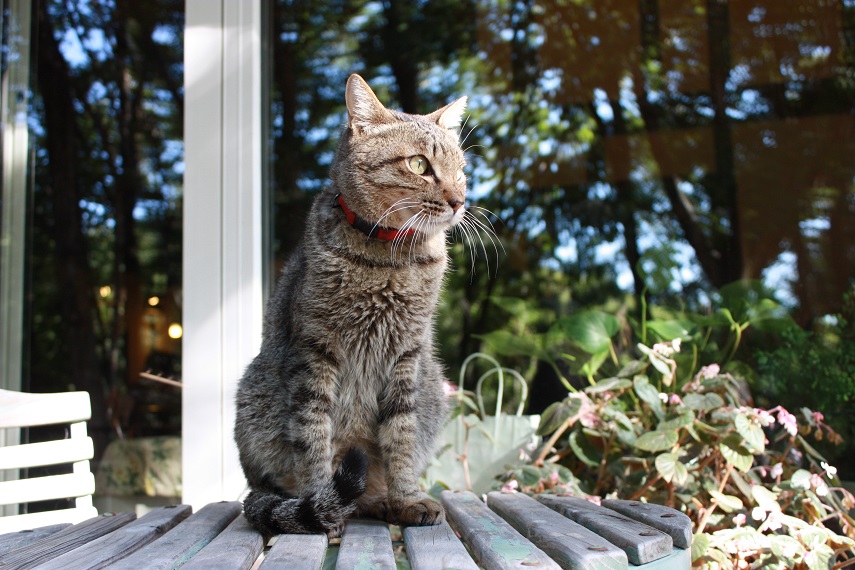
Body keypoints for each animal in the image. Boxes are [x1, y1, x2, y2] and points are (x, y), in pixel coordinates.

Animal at [236, 73, 468, 536]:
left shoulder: (408, 354)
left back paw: (378, 501)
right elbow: (313, 436)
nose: (458, 201)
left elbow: (401, 435)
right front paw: (320, 504)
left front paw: (404, 498)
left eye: (461, 170)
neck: (390, 256)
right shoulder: (315, 351)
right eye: (419, 165)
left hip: (432, 384)